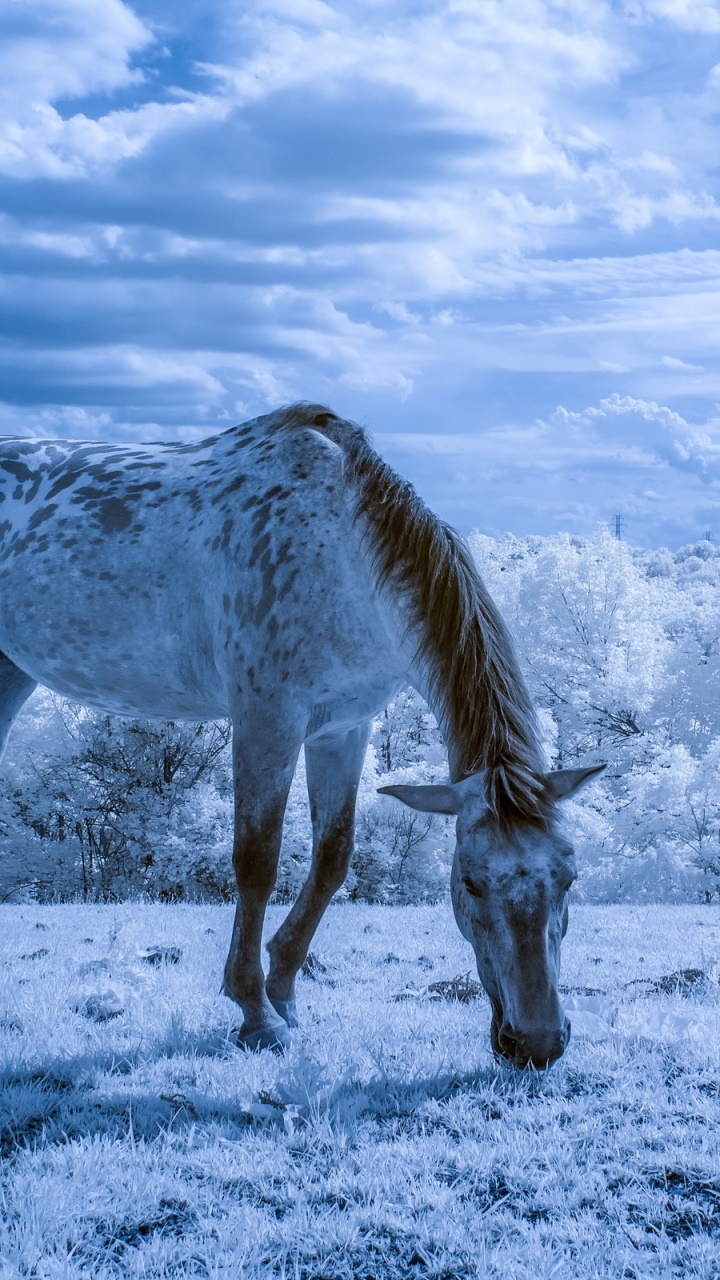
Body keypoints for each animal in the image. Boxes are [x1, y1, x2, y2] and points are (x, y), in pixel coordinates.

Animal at [0, 402, 604, 1067]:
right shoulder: (267, 720)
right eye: (469, 883)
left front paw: (284, 991)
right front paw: (256, 1013)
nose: (537, 1042)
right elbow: (256, 861)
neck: (340, 552)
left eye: (569, 878)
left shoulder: (342, 729)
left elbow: (332, 859)